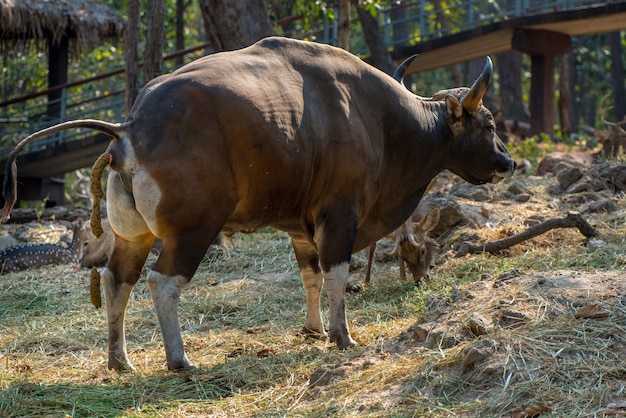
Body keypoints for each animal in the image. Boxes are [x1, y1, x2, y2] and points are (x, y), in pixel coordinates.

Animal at [1, 36, 512, 372]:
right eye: (488, 123)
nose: (507, 161)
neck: (381, 121)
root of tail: (127, 128)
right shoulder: (340, 213)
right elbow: (337, 275)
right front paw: (341, 336)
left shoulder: (300, 225)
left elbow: (310, 276)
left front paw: (313, 329)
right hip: (192, 229)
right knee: (162, 282)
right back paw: (178, 359)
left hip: (134, 232)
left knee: (116, 279)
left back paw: (119, 359)